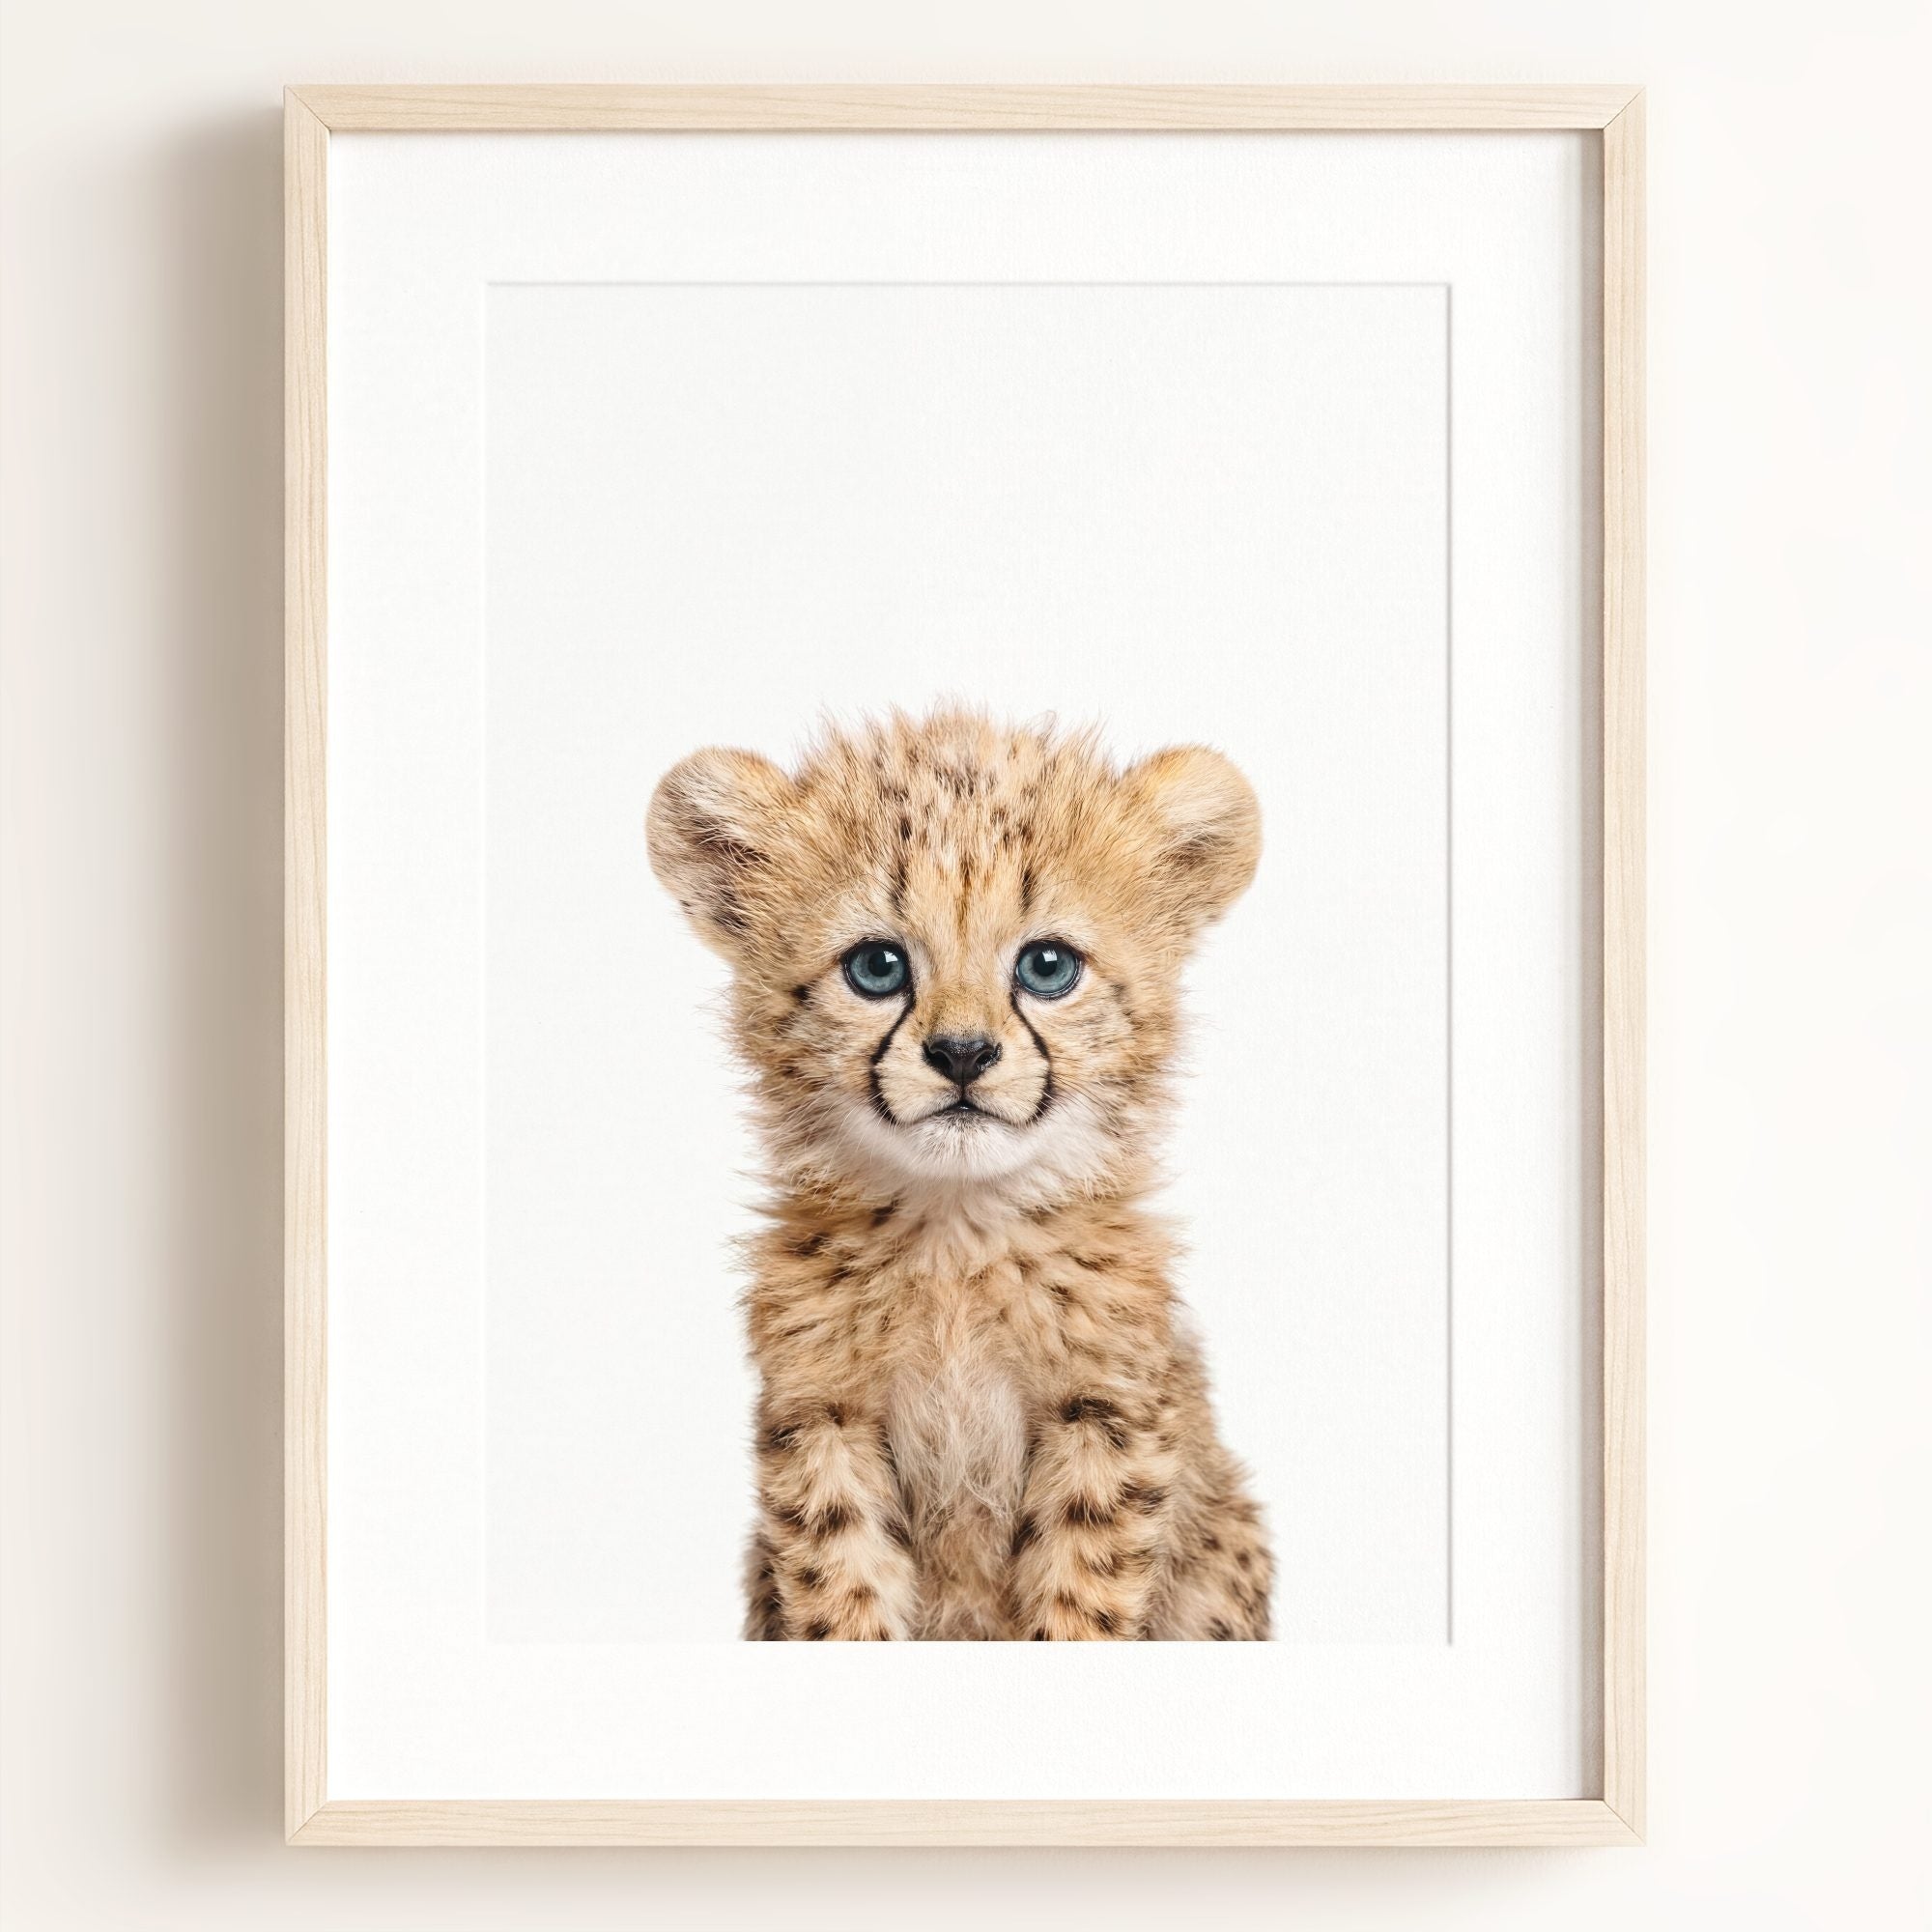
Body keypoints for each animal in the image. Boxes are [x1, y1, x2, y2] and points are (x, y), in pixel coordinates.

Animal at [647, 707, 1272, 1639]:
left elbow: (1082, 1598)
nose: (963, 1054)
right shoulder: (823, 1419)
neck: (957, 1233)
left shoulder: (1105, 1414)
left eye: (1048, 967)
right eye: (877, 967)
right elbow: (842, 1593)